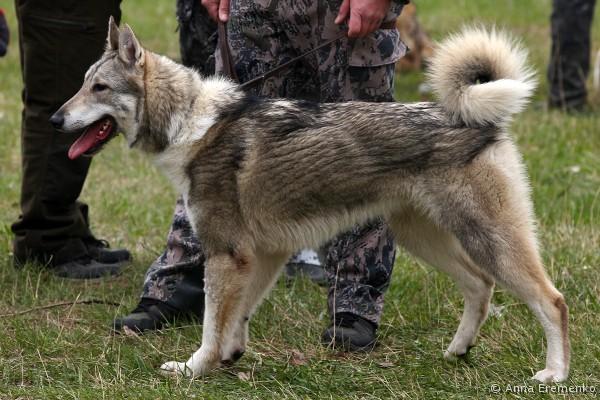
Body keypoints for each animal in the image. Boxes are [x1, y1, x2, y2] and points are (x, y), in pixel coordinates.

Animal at [51, 17, 570, 383]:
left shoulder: (226, 255)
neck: (190, 123)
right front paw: (230, 356)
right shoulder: (262, 255)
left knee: (553, 301)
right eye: (81, 83)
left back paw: (554, 374)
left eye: (99, 88)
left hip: (489, 240)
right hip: (426, 238)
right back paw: (457, 351)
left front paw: (194, 369)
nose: (55, 120)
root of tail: (474, 118)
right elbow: (236, 317)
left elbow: (212, 325)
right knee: (480, 286)